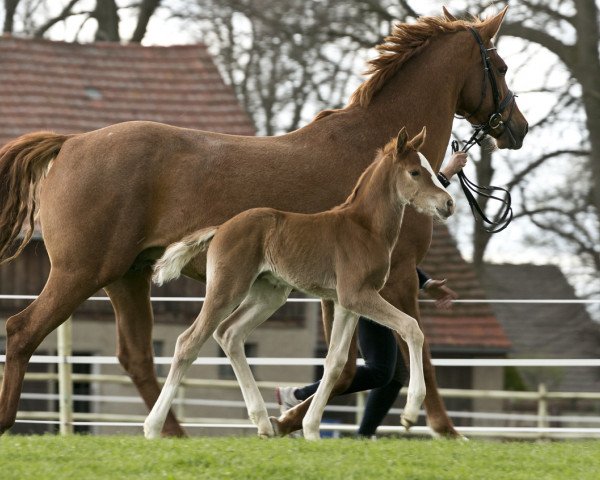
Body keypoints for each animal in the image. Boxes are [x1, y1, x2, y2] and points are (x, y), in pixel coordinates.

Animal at [145, 126, 454, 438]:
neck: (365, 228)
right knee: (189, 341)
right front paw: (410, 412)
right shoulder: (357, 295)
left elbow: (335, 362)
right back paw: (153, 426)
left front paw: (312, 428)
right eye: (415, 172)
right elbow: (411, 327)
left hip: (269, 294)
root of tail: (221, 228)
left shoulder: (347, 303)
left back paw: (263, 422)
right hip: (227, 288)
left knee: (229, 333)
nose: (448, 203)